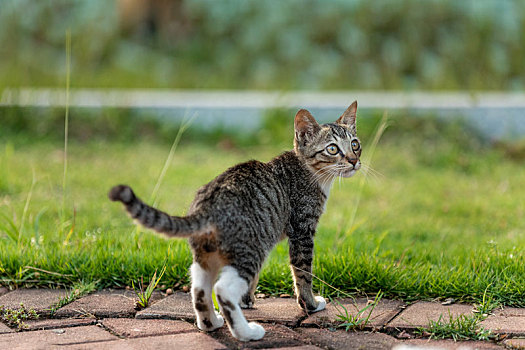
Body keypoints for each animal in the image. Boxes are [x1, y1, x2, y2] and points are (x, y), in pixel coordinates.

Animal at [106, 102, 360, 342]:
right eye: (333, 149)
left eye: (355, 144)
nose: (354, 160)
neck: (311, 173)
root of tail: (207, 204)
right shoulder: (302, 231)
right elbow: (303, 274)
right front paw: (311, 304)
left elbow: (257, 279)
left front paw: (247, 299)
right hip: (250, 249)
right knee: (223, 290)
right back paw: (246, 333)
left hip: (209, 254)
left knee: (199, 289)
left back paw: (211, 323)